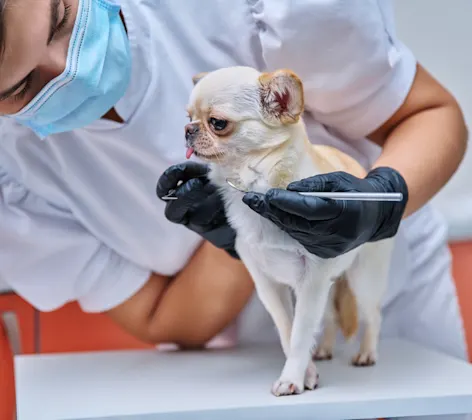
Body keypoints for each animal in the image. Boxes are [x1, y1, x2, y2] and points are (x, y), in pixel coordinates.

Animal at [184, 66, 394, 398]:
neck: (259, 187)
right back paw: (324, 350)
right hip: (329, 286)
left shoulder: (311, 282)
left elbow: (299, 334)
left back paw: (367, 353)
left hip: (363, 278)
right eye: (188, 115)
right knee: (331, 318)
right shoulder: (270, 284)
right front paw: (306, 372)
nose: (188, 129)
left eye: (217, 123)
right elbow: (287, 329)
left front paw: (291, 378)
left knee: (372, 314)